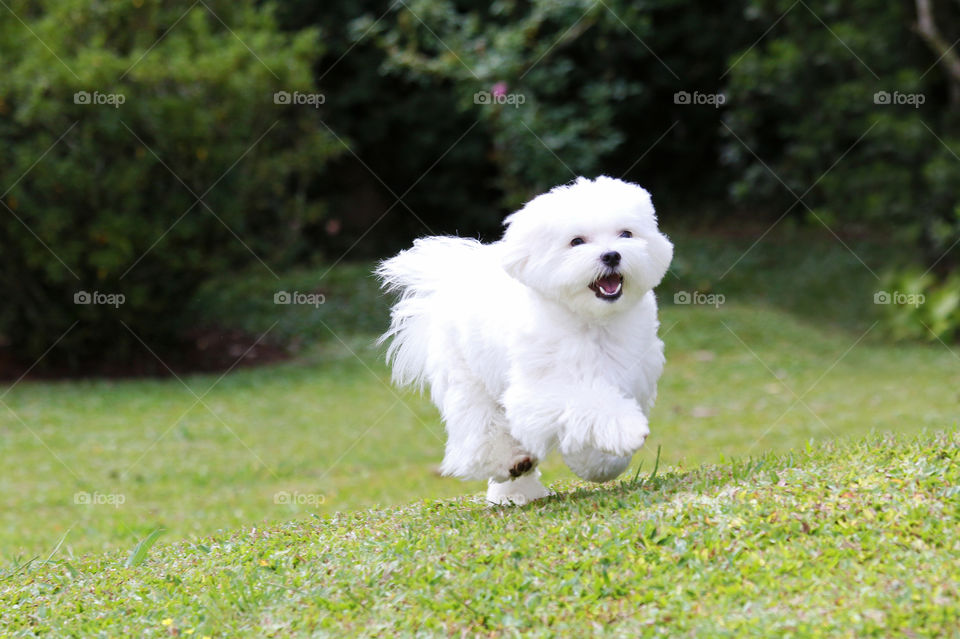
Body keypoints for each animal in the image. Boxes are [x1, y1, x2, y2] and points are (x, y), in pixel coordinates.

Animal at [378, 176, 672, 504]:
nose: (611, 255)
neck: (591, 322)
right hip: (467, 379)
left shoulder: (634, 378)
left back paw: (515, 489)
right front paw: (626, 430)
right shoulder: (540, 391)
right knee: (483, 431)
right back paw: (510, 464)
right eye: (577, 241)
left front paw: (600, 463)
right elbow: (588, 403)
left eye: (626, 234)